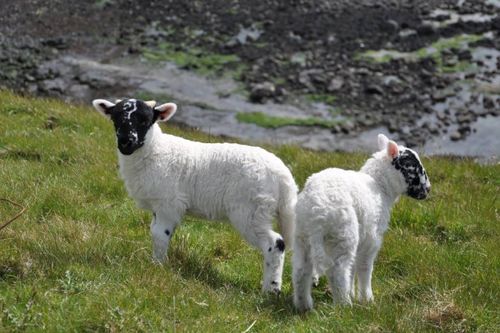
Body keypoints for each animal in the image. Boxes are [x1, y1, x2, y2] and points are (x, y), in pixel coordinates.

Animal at [92, 97, 296, 292]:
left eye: (145, 120)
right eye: (116, 119)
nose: (126, 142)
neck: (154, 150)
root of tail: (283, 176)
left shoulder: (169, 204)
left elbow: (159, 234)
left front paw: (157, 266)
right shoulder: (159, 205)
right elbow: (154, 231)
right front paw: (156, 263)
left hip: (250, 210)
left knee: (275, 243)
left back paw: (271, 289)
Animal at [292, 134, 430, 310]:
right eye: (413, 167)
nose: (428, 190)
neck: (380, 185)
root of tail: (316, 213)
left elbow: (352, 271)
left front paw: (353, 292)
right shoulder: (372, 238)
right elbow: (364, 268)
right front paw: (366, 299)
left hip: (302, 236)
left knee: (301, 271)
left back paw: (304, 305)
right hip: (343, 234)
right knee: (338, 271)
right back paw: (345, 305)